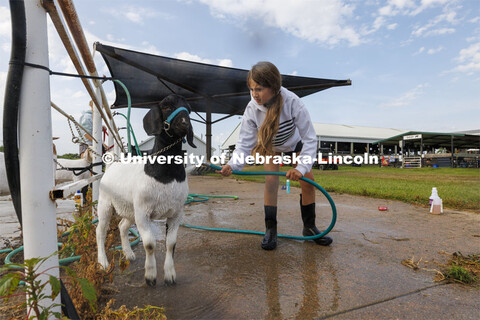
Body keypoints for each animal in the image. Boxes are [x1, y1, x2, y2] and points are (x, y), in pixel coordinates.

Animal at [95, 94, 195, 284]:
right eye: (165, 106)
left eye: (188, 109)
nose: (185, 123)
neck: (166, 176)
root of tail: (111, 165)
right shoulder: (143, 212)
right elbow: (149, 244)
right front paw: (150, 276)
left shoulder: (176, 213)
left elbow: (171, 243)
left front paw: (170, 274)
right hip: (105, 204)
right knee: (101, 231)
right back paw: (103, 262)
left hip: (129, 209)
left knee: (122, 226)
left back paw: (128, 253)